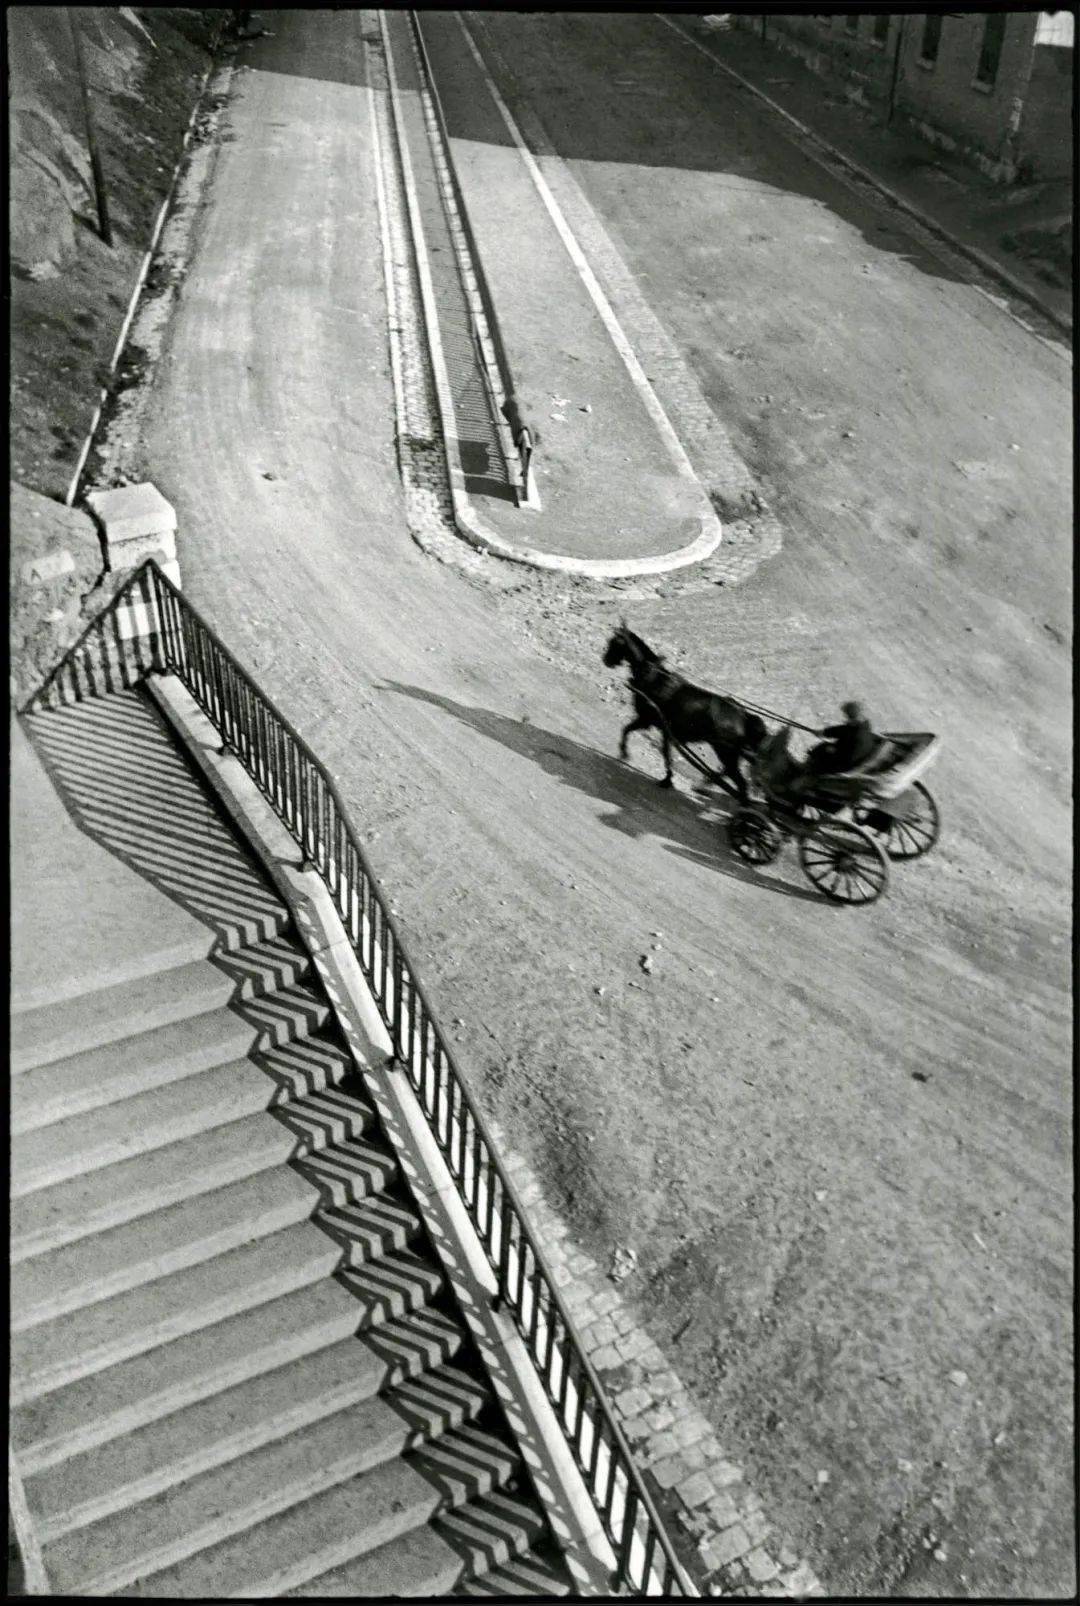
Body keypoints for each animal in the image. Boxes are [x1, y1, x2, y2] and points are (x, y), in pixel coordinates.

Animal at [597, 623, 768, 803]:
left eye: (615, 643)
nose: (606, 660)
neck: (654, 677)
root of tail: (743, 716)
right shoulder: (663, 729)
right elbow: (660, 750)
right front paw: (666, 778)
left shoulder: (646, 719)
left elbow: (630, 731)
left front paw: (625, 753)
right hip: (729, 753)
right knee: (729, 774)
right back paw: (706, 786)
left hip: (725, 752)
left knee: (739, 781)